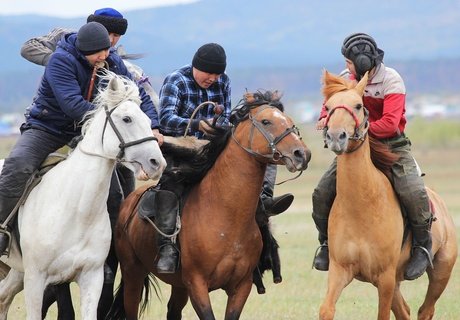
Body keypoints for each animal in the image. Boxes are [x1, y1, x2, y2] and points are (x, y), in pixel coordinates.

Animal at [0, 71, 167, 318]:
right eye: (126, 119)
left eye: (148, 121)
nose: (157, 163)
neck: (76, 209)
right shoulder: (38, 278)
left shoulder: (92, 277)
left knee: (3, 298)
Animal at [107, 91, 312, 318]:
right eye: (266, 121)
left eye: (290, 121)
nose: (301, 154)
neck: (226, 215)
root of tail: (129, 203)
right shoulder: (197, 284)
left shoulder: (241, 286)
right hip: (132, 273)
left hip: (177, 285)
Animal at [318, 70, 458, 320]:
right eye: (328, 107)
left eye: (358, 106)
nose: (336, 136)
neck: (362, 206)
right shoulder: (340, 269)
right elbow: (326, 310)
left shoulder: (384, 278)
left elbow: (382, 315)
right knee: (405, 310)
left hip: (441, 271)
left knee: (425, 310)